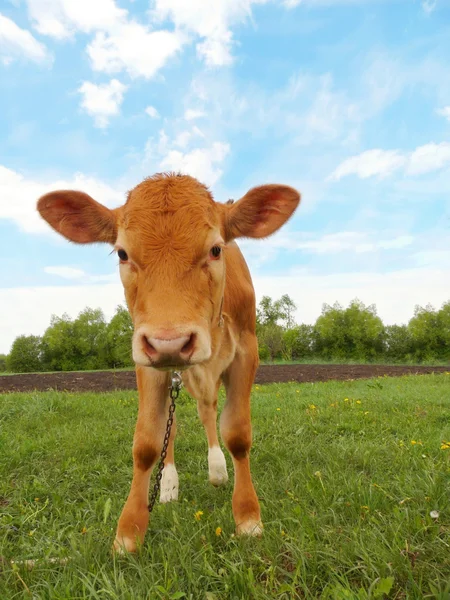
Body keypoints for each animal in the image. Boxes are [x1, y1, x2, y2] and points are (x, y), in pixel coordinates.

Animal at [37, 171, 300, 552]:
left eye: (216, 248)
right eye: (122, 253)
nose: (169, 342)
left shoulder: (247, 353)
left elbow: (236, 433)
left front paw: (248, 516)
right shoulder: (147, 361)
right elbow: (148, 442)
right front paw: (129, 532)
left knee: (208, 412)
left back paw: (217, 469)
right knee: (173, 427)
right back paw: (170, 484)